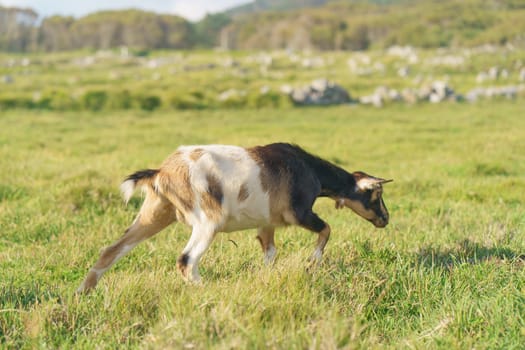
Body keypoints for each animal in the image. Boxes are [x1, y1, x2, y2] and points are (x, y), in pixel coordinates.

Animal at [77, 142, 388, 292]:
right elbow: (326, 229)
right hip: (207, 223)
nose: (385, 219)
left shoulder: (267, 224)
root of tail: (162, 172)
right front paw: (311, 264)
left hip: (155, 214)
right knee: (186, 260)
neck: (309, 168)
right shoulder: (300, 213)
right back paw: (206, 289)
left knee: (111, 250)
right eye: (376, 194)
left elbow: (270, 252)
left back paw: (83, 292)